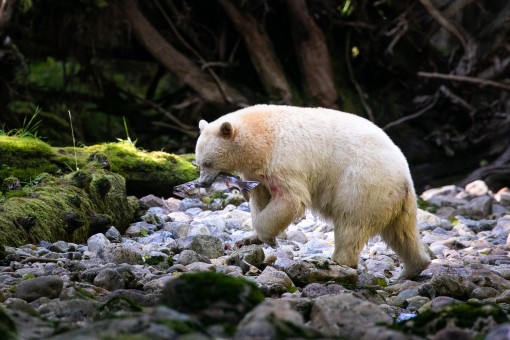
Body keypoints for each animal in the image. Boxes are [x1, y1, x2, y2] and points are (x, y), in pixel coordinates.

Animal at [195, 104, 430, 278]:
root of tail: (404, 176)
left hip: (363, 185)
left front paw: (266, 236)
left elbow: (291, 199)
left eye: (207, 163)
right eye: (198, 164)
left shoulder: (284, 159)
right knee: (402, 234)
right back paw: (411, 270)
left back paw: (336, 262)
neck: (261, 138)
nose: (202, 183)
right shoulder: (258, 171)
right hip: (395, 200)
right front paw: (249, 238)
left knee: (351, 225)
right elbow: (260, 195)